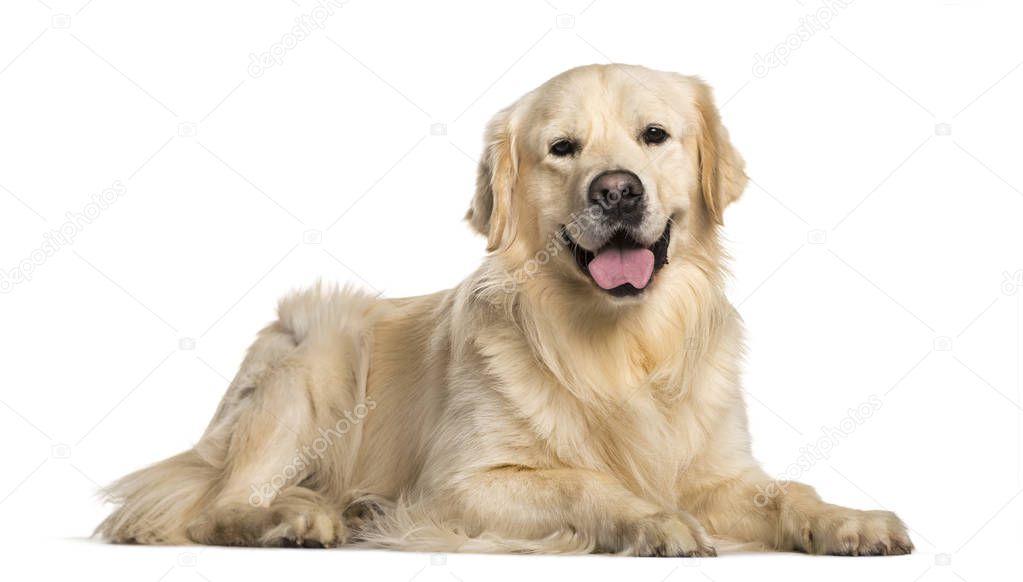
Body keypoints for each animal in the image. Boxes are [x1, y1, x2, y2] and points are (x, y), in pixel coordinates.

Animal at [94, 65, 912, 556]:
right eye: (562, 148)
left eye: (654, 136)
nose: (617, 190)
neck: (622, 348)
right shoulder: (462, 483)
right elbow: (583, 482)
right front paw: (650, 519)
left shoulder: (719, 472)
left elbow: (788, 491)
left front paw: (851, 521)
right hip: (320, 346)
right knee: (218, 505)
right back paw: (296, 519)